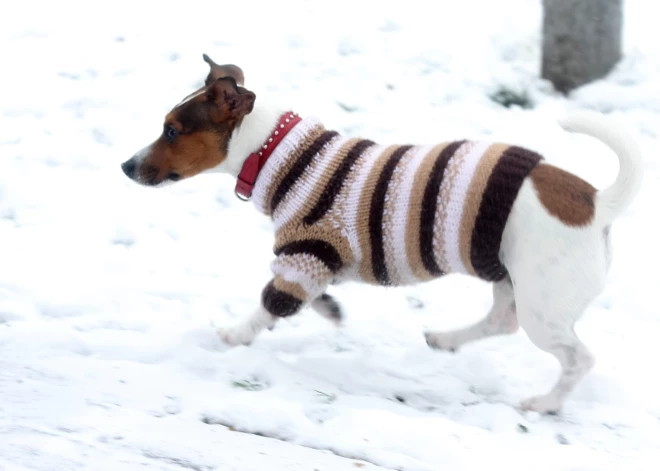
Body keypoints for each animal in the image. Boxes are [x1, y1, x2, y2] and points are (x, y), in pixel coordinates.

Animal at [121, 54, 640, 412]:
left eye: (171, 131)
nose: (126, 165)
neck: (280, 153)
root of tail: (596, 201)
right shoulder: (316, 263)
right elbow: (311, 298)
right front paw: (329, 310)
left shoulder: (305, 257)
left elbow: (271, 303)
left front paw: (233, 335)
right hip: (509, 278)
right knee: (501, 321)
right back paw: (446, 340)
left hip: (543, 306)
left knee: (577, 358)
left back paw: (545, 403)